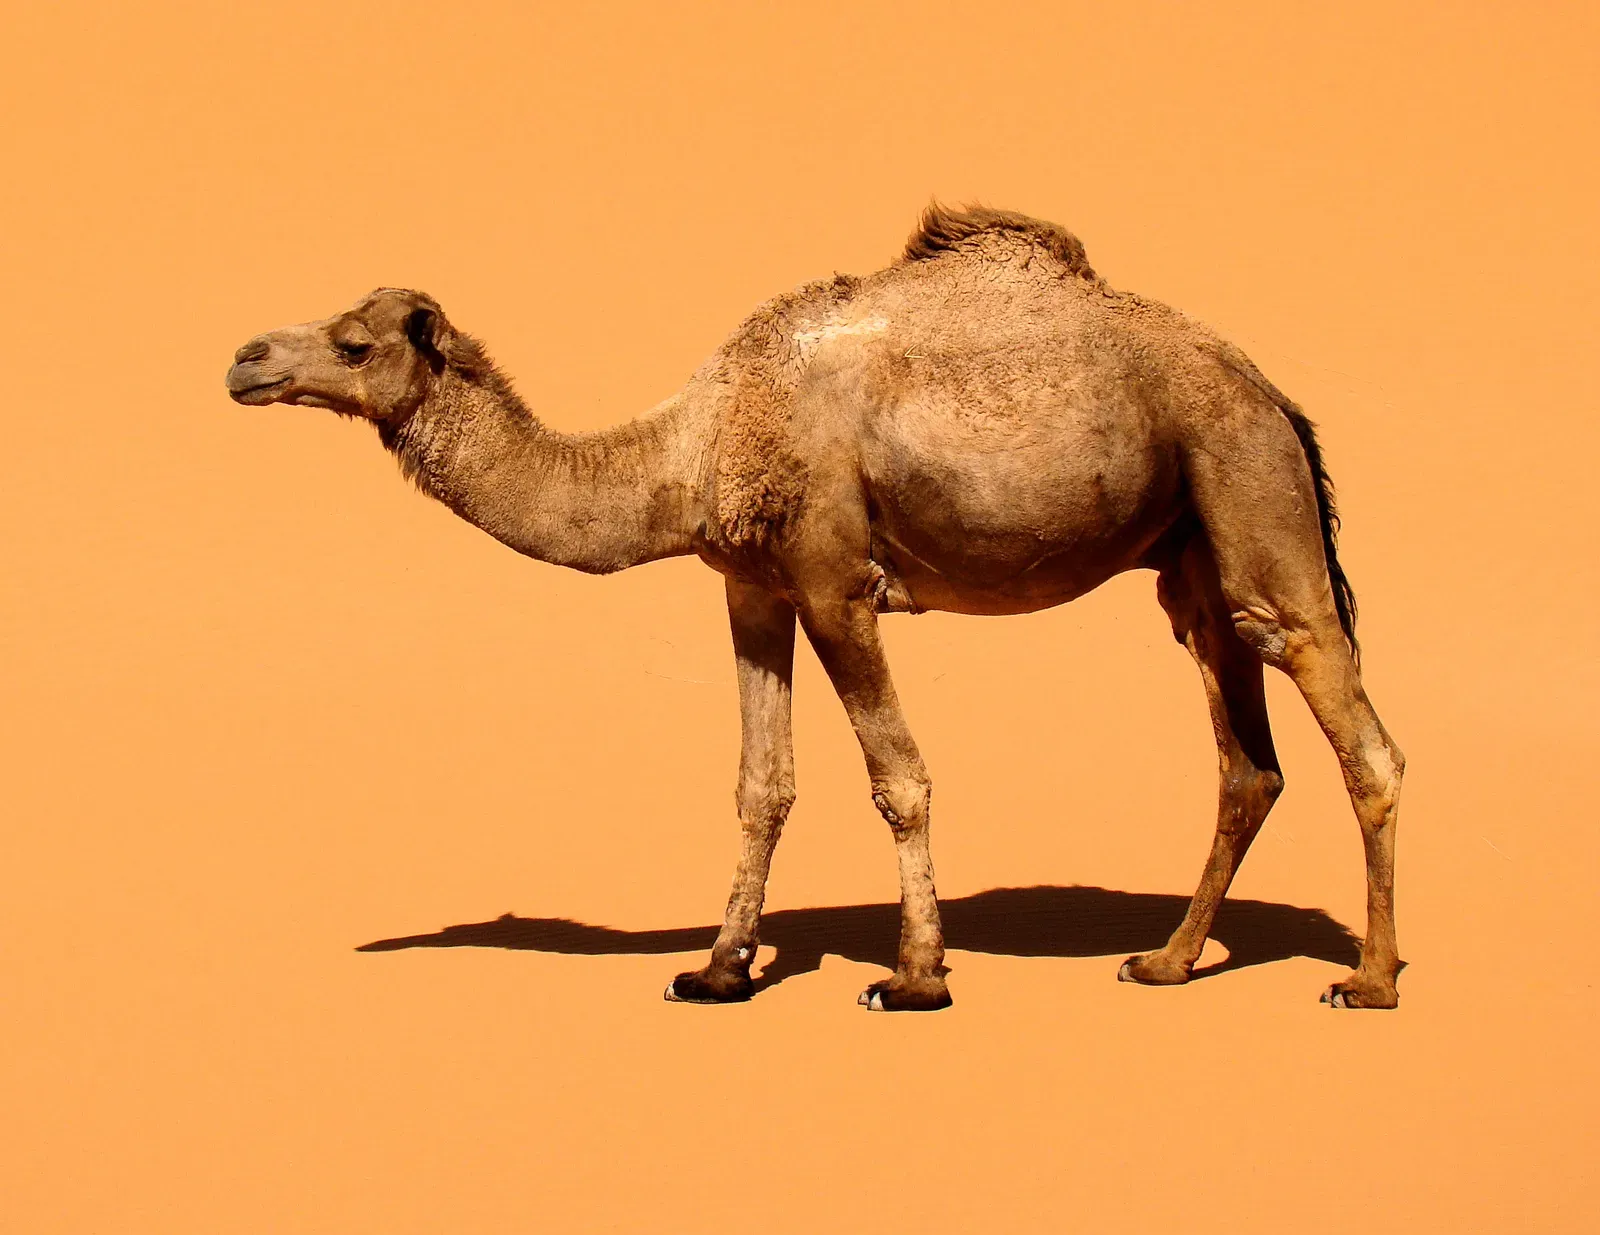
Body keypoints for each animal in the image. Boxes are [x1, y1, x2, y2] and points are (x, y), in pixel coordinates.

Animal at [225, 204, 1404, 1012]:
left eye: (355, 342)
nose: (245, 356)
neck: (692, 443)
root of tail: (1275, 394)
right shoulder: (751, 583)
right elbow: (762, 783)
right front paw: (716, 969)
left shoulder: (837, 580)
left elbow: (899, 777)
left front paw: (915, 975)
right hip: (1192, 560)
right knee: (1246, 761)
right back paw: (1164, 960)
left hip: (1254, 498)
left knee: (1361, 736)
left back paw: (1369, 979)